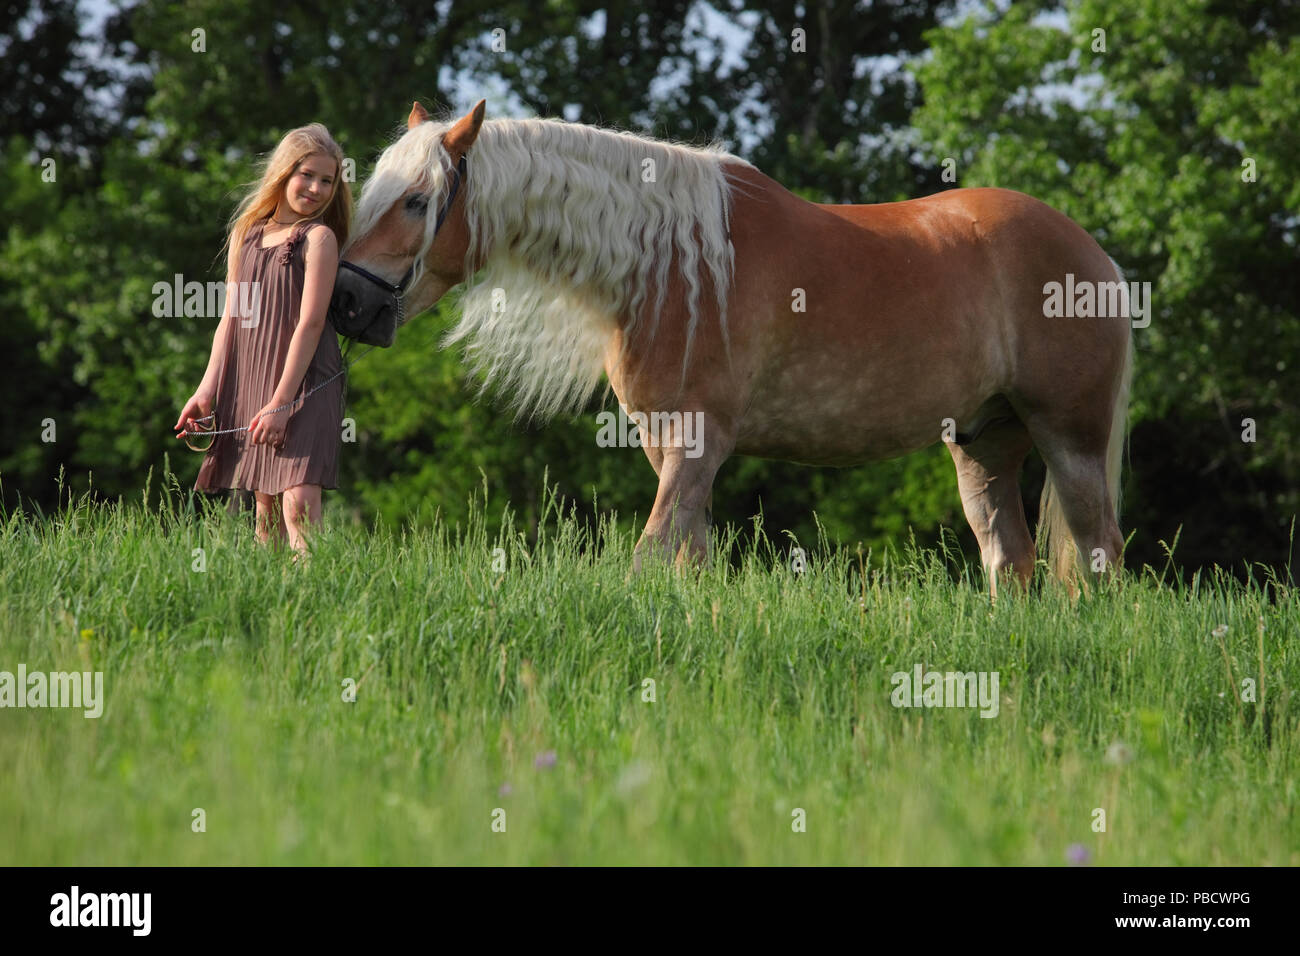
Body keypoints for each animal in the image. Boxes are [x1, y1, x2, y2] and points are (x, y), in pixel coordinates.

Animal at [330, 100, 1133, 595]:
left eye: (416, 201)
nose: (346, 301)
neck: (666, 265)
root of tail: (1098, 260)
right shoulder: (669, 446)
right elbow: (691, 556)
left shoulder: (698, 440)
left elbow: (653, 554)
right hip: (983, 444)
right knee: (1010, 559)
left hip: (1071, 438)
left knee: (1101, 555)